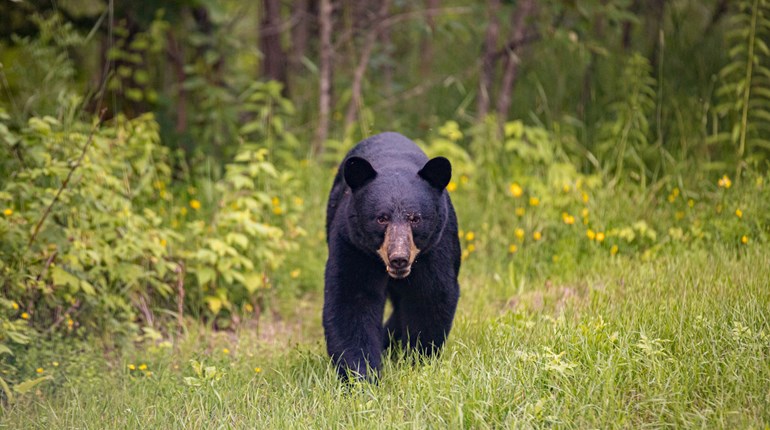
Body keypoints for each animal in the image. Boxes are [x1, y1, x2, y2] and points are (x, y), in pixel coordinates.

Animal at [323, 132, 461, 381]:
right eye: (381, 218)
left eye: (415, 218)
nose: (399, 258)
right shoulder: (353, 244)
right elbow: (351, 299)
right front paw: (361, 375)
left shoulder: (436, 247)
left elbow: (430, 295)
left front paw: (418, 360)